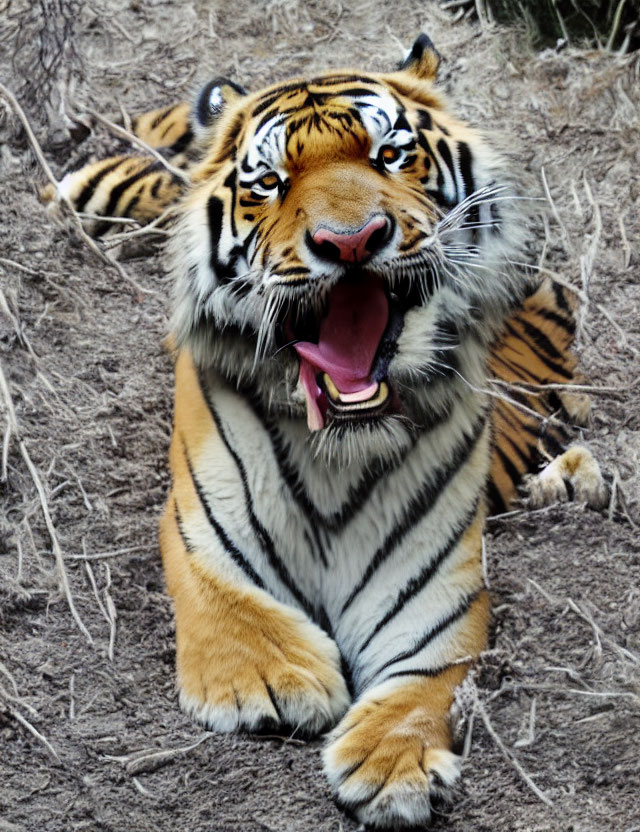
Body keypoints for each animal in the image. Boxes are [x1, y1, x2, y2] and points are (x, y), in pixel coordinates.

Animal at [40, 32, 604, 824]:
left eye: (392, 155)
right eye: (270, 182)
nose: (352, 241)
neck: (340, 441)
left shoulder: (439, 594)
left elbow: (423, 683)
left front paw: (392, 761)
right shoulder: (201, 536)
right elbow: (238, 610)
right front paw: (272, 682)